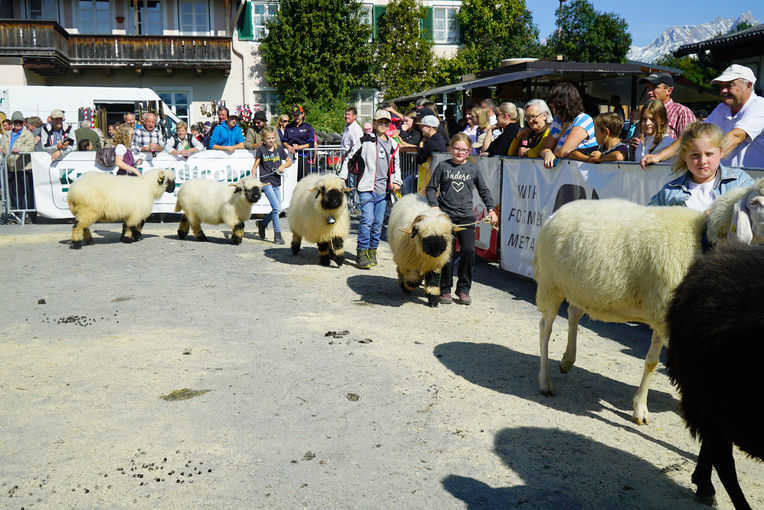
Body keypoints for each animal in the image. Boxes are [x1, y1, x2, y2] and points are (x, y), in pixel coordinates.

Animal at [536, 189, 764, 424]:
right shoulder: (663, 310)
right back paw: (545, 382)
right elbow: (660, 363)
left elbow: (655, 363)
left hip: (583, 289)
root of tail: (558, 212)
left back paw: (567, 361)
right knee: (545, 328)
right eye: (755, 202)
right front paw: (642, 410)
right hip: (550, 283)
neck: (700, 243)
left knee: (573, 312)